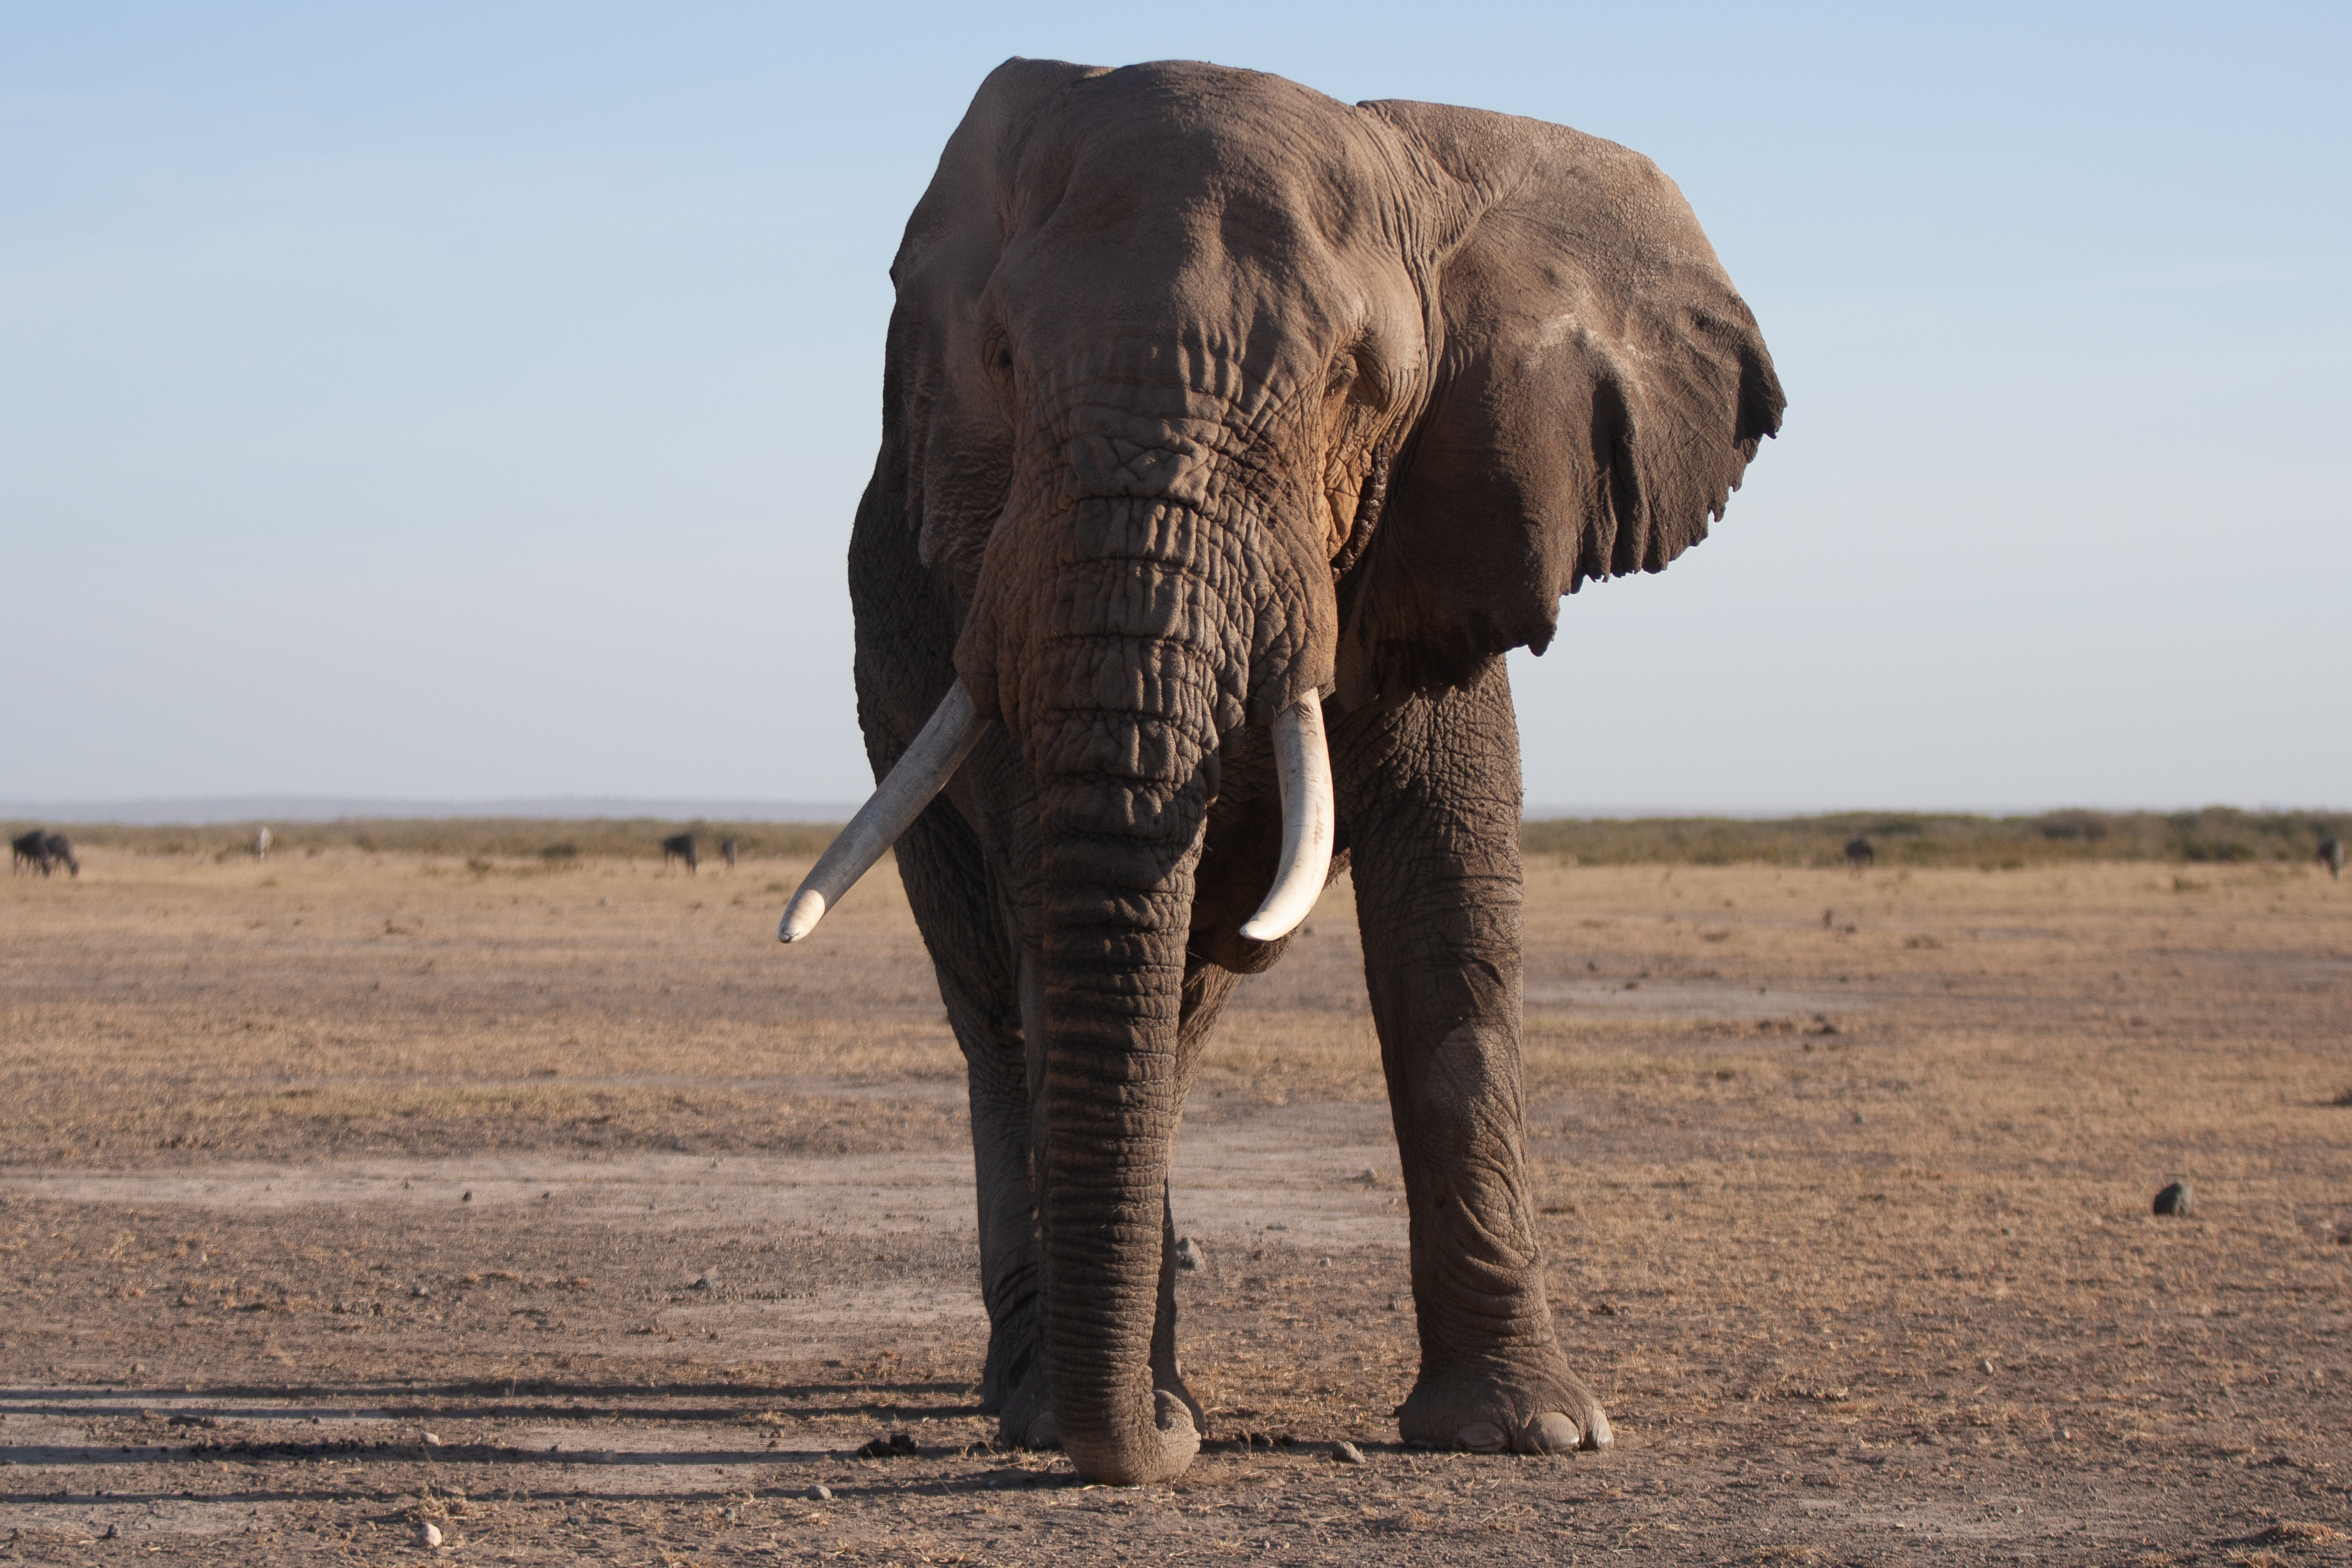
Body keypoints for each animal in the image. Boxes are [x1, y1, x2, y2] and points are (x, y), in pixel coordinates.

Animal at [776, 58, 1778, 1486]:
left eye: (1357, 382)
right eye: (1005, 363)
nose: (1150, 1452)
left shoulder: (1447, 527)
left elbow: (1453, 913)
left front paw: (1528, 1433)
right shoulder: (999, 583)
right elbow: (1053, 925)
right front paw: (1115, 1418)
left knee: (1179, 1004)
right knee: (995, 1003)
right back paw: (1027, 1384)